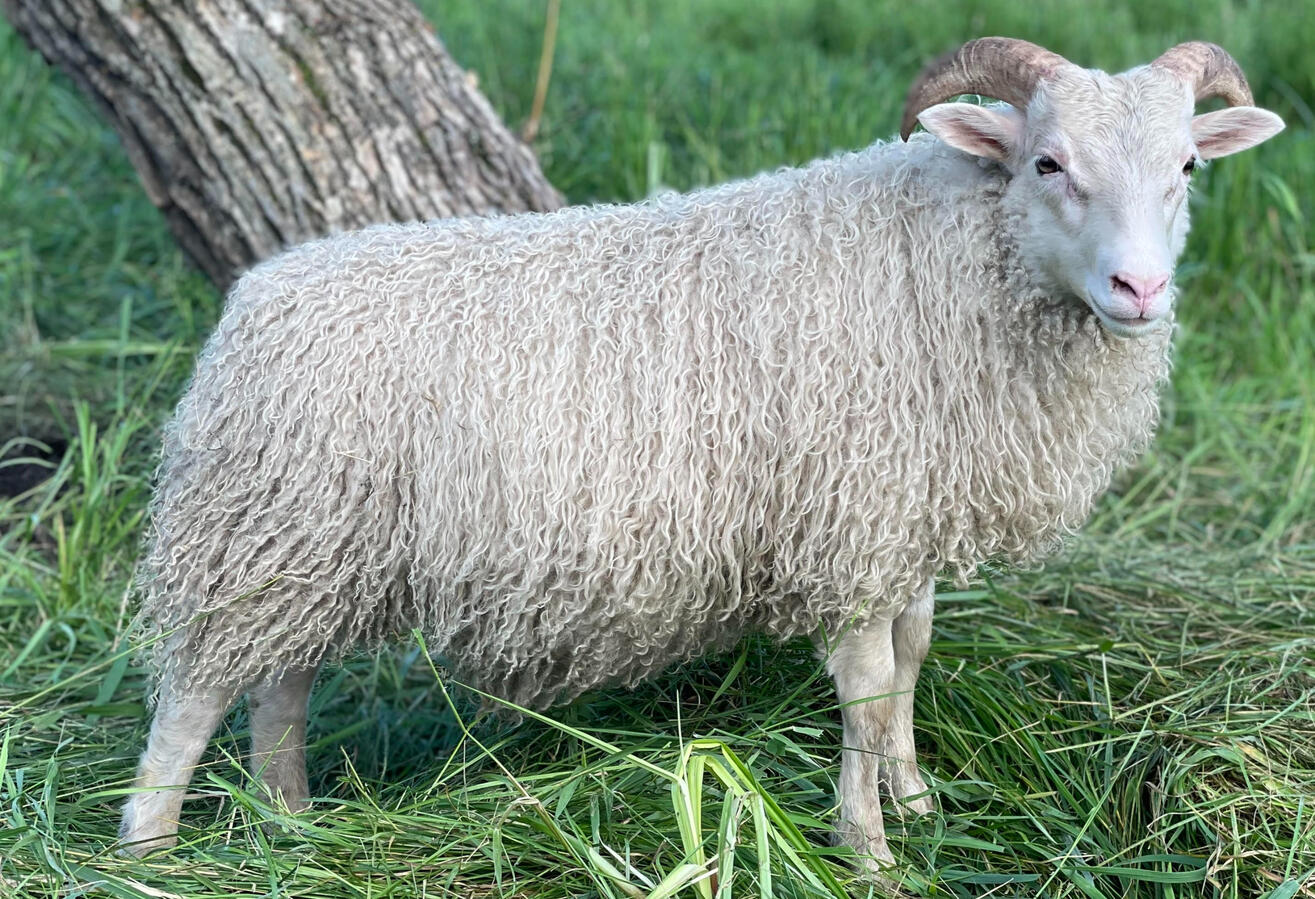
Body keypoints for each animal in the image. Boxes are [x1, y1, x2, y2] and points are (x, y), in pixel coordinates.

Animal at [118, 37, 1283, 868]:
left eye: (1186, 166)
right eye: (1047, 161)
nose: (1140, 289)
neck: (943, 256)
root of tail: (253, 298)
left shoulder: (902, 512)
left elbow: (911, 659)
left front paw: (915, 800)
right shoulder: (849, 522)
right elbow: (866, 687)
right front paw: (867, 847)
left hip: (309, 547)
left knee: (280, 687)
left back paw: (292, 823)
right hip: (262, 525)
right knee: (193, 700)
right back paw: (149, 850)